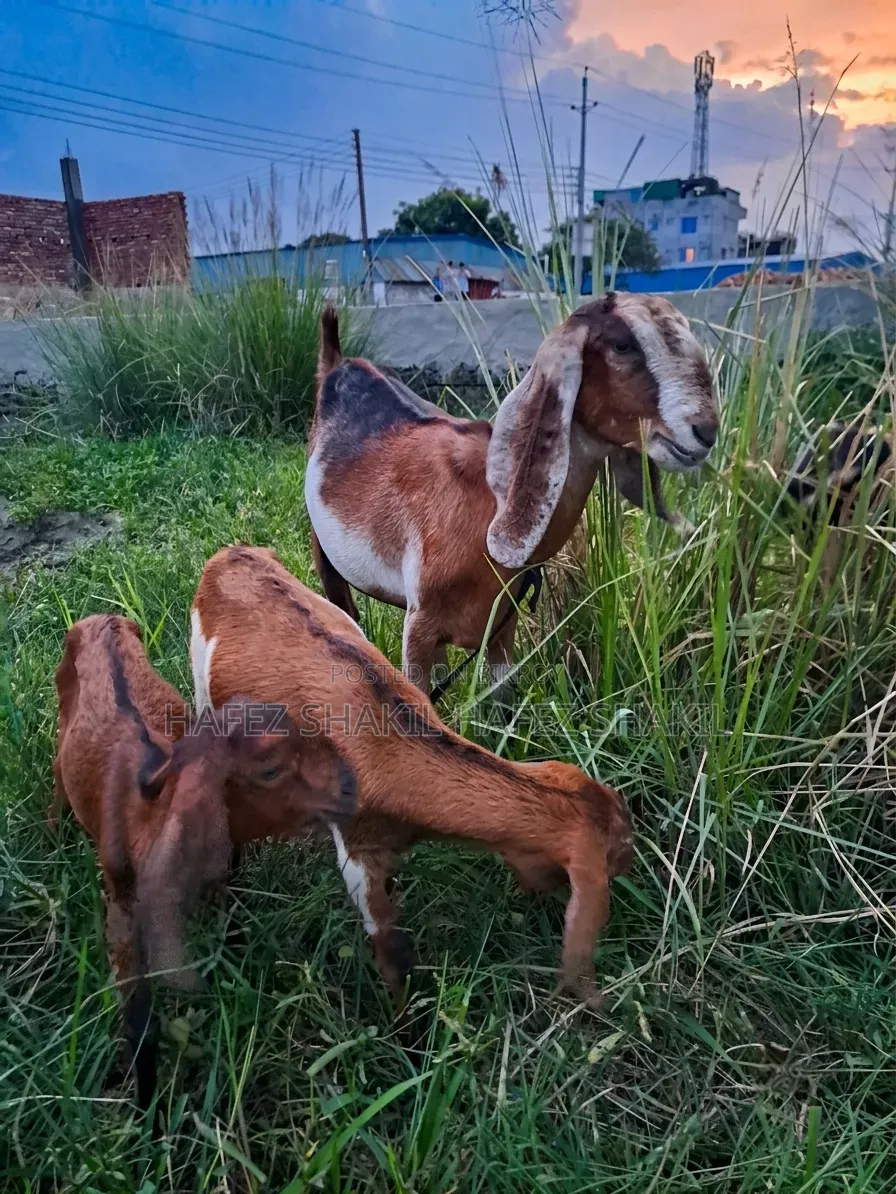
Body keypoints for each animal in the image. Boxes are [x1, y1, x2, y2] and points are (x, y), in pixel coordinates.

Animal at [52, 613, 355, 1118]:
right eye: (270, 768)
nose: (352, 788)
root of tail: (104, 618)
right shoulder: (121, 911)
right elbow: (140, 1021)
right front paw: (148, 1114)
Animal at [191, 545, 633, 1010]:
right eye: (614, 858)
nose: (632, 863)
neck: (386, 742)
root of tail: (234, 553)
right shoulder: (357, 853)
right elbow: (393, 952)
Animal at [306, 294, 717, 694]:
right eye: (622, 344)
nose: (706, 431)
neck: (491, 504)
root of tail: (341, 364)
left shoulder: (502, 628)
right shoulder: (419, 626)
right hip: (324, 552)